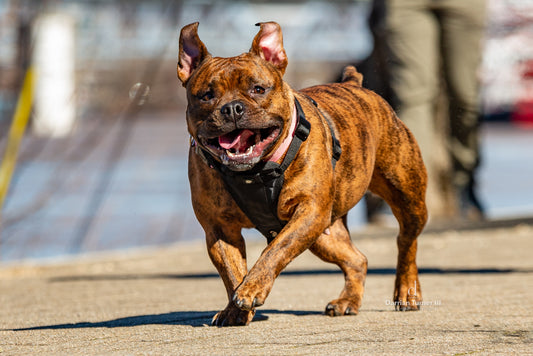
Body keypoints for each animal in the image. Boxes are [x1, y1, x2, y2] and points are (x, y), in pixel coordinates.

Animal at [177, 21, 426, 326]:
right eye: (207, 95)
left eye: (258, 89)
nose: (232, 108)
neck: (255, 171)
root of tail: (354, 85)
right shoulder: (219, 229)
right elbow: (232, 271)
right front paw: (235, 309)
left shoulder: (309, 212)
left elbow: (275, 250)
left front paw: (251, 290)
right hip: (325, 236)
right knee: (357, 259)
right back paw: (347, 301)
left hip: (407, 197)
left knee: (406, 242)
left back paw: (407, 291)